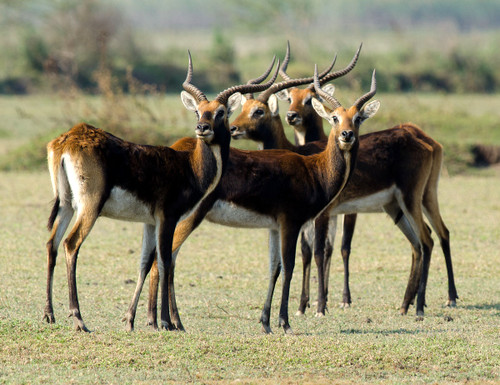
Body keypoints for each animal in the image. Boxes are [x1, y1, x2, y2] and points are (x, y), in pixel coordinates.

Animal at [43, 52, 280, 332]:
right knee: (71, 244)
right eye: (198, 111)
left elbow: (146, 263)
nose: (202, 128)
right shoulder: (168, 217)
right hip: (90, 207)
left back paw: (49, 314)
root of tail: (67, 139)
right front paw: (166, 321)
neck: (190, 166)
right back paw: (79, 319)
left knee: (52, 243)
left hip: (67, 204)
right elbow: (166, 260)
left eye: (220, 112)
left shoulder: (150, 222)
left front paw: (133, 320)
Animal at [143, 63, 376, 332]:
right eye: (335, 118)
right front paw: (285, 322)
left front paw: (265, 323)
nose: (346, 135)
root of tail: (178, 148)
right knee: (164, 259)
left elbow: (274, 268)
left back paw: (172, 322)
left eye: (357, 118)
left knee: (168, 259)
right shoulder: (291, 223)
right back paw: (160, 322)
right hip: (188, 218)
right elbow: (289, 266)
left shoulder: (275, 227)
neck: (315, 169)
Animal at [280, 46, 458, 316]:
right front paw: (306, 305)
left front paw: (323, 305)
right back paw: (409, 303)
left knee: (428, 239)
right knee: (427, 238)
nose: (347, 135)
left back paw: (425, 305)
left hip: (412, 199)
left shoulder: (331, 213)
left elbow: (327, 250)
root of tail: (423, 139)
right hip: (405, 204)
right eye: (334, 117)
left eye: (358, 118)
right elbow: (312, 251)